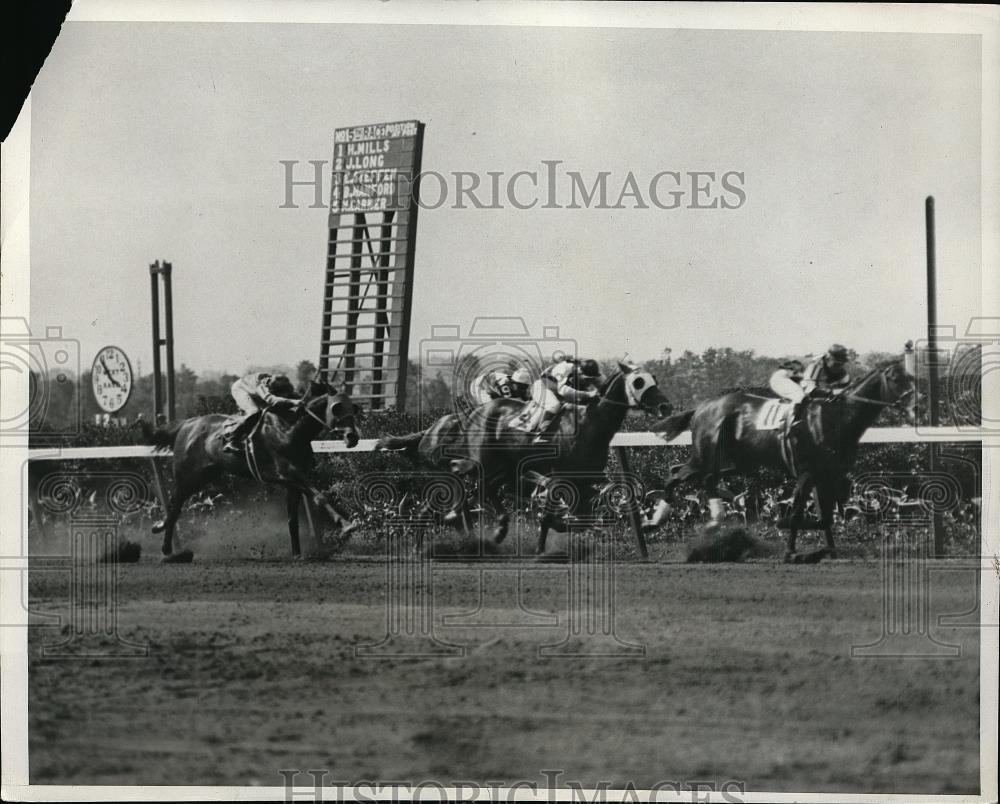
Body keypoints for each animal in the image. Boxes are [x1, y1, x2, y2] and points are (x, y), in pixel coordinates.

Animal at [139, 382, 362, 560]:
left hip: (204, 476)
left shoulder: (292, 482)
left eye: (354, 408)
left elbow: (293, 519)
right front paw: (347, 525)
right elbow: (320, 496)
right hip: (187, 476)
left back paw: (163, 536)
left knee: (176, 507)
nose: (352, 437)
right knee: (174, 507)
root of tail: (186, 424)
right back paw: (167, 548)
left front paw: (297, 554)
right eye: (337, 408)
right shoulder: (290, 472)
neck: (290, 429)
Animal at [376, 362, 672, 552]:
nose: (665, 406)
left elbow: (580, 515)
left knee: (458, 500)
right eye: (639, 382)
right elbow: (553, 515)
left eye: (655, 380)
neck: (590, 425)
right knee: (476, 491)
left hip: (500, 469)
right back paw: (490, 531)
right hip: (480, 465)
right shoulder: (559, 477)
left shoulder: (585, 480)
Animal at [648, 354, 916, 564]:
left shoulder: (829, 476)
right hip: (705, 457)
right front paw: (790, 549)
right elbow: (797, 514)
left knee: (703, 479)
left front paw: (822, 550)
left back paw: (714, 523)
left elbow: (825, 519)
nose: (914, 403)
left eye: (912, 377)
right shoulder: (808, 473)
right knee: (676, 475)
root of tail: (701, 408)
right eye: (895, 379)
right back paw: (656, 521)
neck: (837, 418)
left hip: (734, 463)